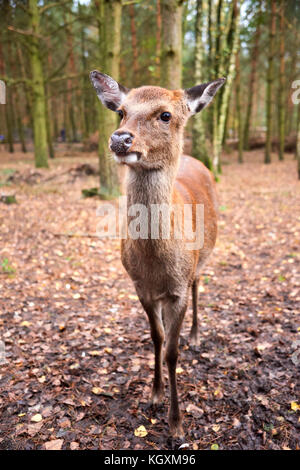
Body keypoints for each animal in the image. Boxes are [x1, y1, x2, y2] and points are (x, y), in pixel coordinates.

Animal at [89, 70, 225, 440]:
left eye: (165, 115)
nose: (120, 139)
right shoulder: (141, 288)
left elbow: (173, 352)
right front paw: (154, 393)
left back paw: (196, 335)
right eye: (121, 111)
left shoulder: (177, 291)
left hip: (203, 258)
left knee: (198, 285)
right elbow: (156, 338)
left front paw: (176, 423)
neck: (156, 265)